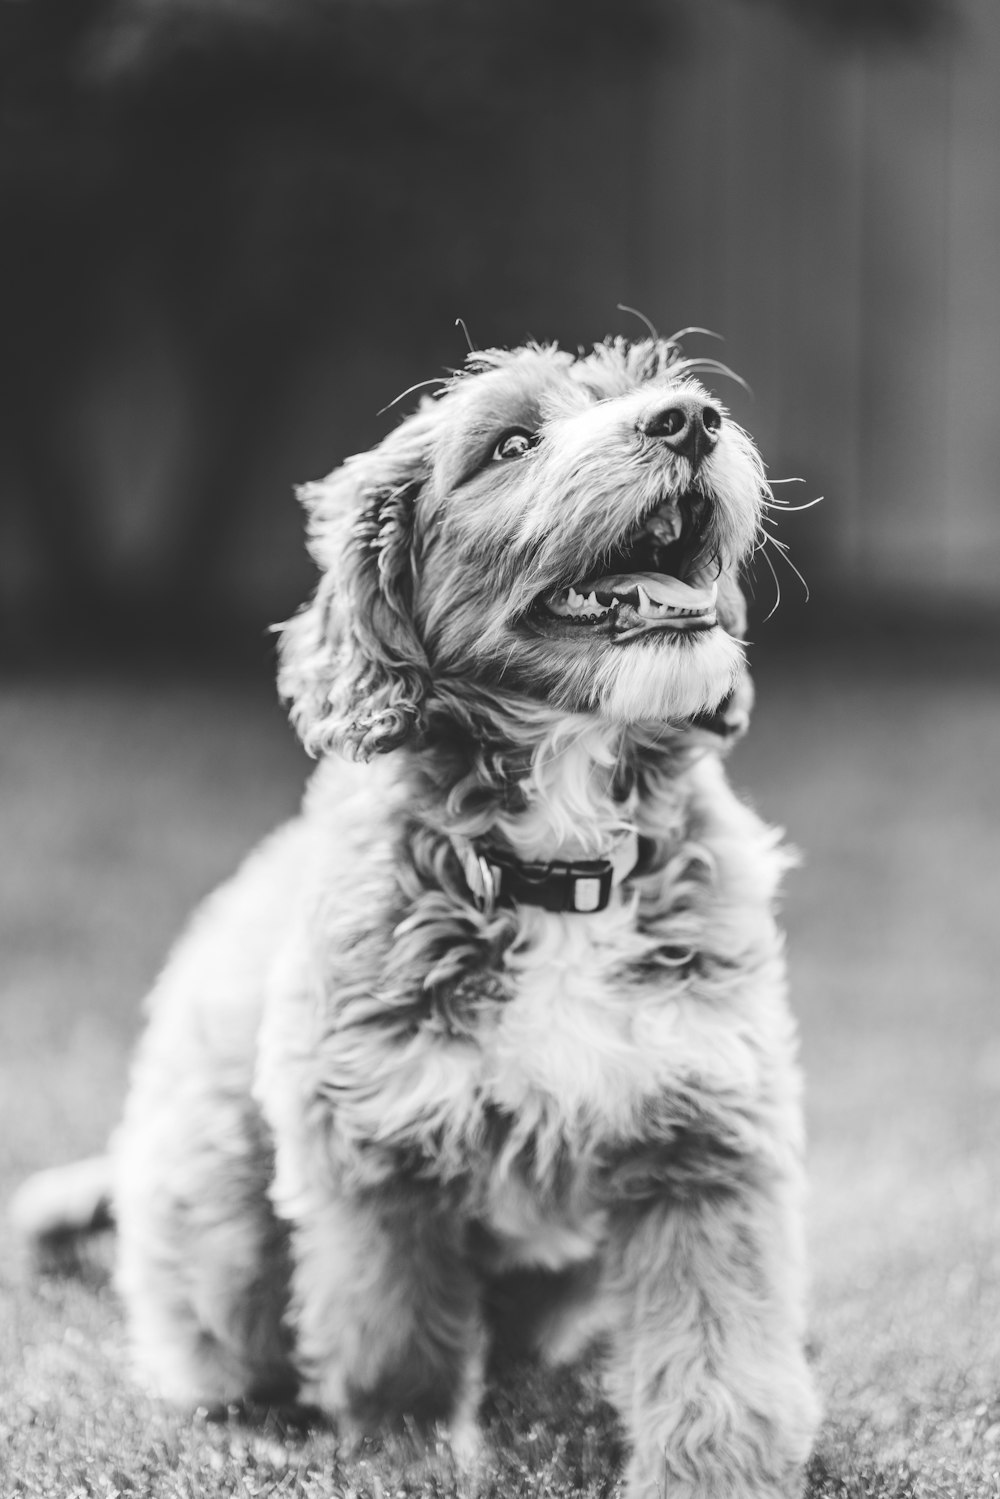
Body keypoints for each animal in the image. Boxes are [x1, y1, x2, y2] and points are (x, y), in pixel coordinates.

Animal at [13, 340, 821, 1499]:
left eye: (647, 388)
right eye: (510, 443)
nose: (690, 420)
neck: (554, 861)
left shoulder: (705, 1129)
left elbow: (719, 1350)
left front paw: (719, 1474)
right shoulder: (373, 1139)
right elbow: (392, 1330)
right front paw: (404, 1451)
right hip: (214, 1196)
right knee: (224, 1343)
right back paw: (255, 1418)